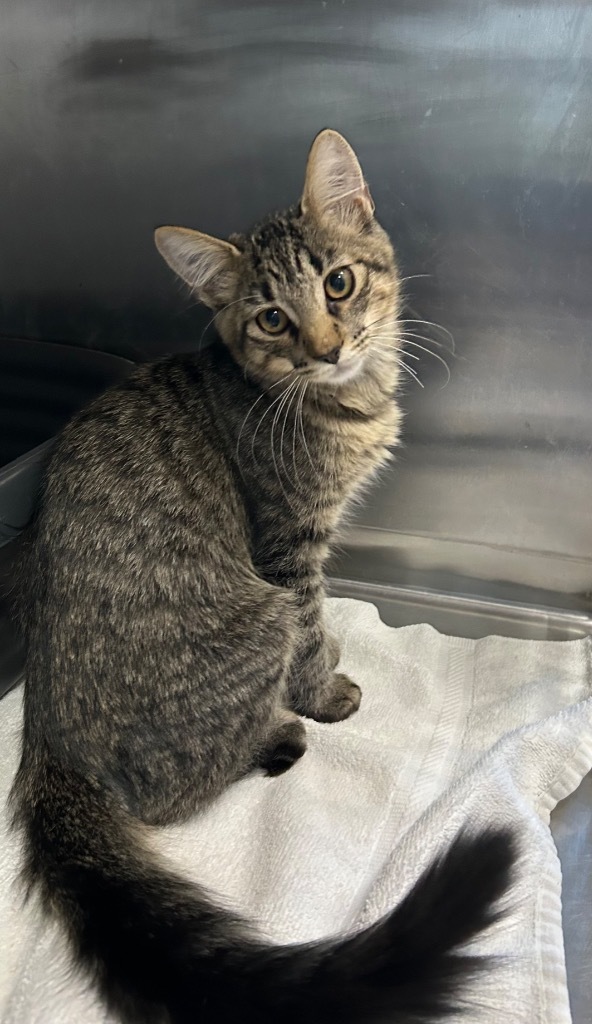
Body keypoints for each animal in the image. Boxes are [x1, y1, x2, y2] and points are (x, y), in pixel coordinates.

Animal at [8, 132, 512, 1019]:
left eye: (338, 283)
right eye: (272, 318)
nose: (328, 348)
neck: (344, 403)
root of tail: (43, 729)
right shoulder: (287, 550)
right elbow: (309, 625)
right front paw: (324, 692)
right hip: (252, 621)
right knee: (171, 796)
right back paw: (277, 735)